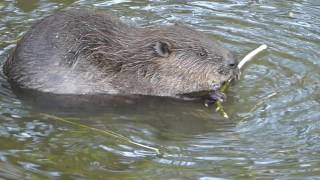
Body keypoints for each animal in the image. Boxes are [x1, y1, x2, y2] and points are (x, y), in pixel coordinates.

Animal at [2, 8, 238, 104]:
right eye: (201, 53)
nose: (233, 62)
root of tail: (7, 67)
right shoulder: (146, 83)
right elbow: (173, 95)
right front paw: (214, 95)